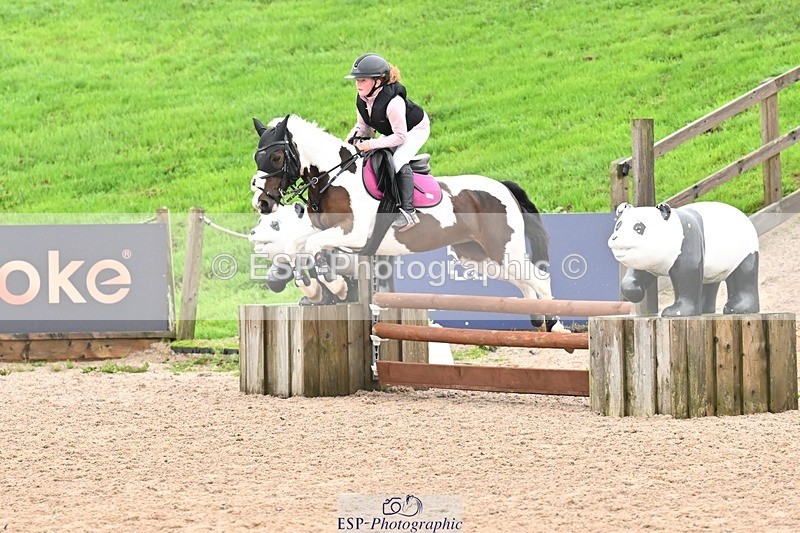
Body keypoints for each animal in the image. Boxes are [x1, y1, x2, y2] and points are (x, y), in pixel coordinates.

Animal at [250, 114, 563, 330]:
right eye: (257, 157)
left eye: (275, 157)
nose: (261, 203)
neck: (334, 179)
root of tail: (503, 187)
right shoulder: (323, 230)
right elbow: (296, 246)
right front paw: (313, 288)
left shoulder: (354, 235)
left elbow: (314, 247)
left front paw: (335, 286)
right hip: (477, 256)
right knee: (523, 283)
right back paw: (536, 320)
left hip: (503, 250)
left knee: (539, 278)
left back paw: (553, 323)